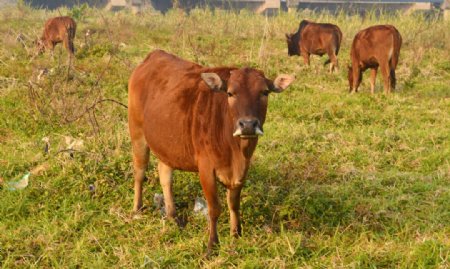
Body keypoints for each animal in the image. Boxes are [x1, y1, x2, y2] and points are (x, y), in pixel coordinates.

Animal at [127, 49, 296, 251]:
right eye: (230, 93)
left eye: (264, 92)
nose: (248, 125)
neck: (236, 152)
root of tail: (153, 56)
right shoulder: (206, 168)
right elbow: (214, 208)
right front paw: (212, 245)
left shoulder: (243, 170)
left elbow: (234, 203)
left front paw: (236, 234)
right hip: (137, 132)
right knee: (139, 172)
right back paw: (137, 209)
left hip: (166, 144)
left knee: (165, 175)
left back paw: (172, 215)